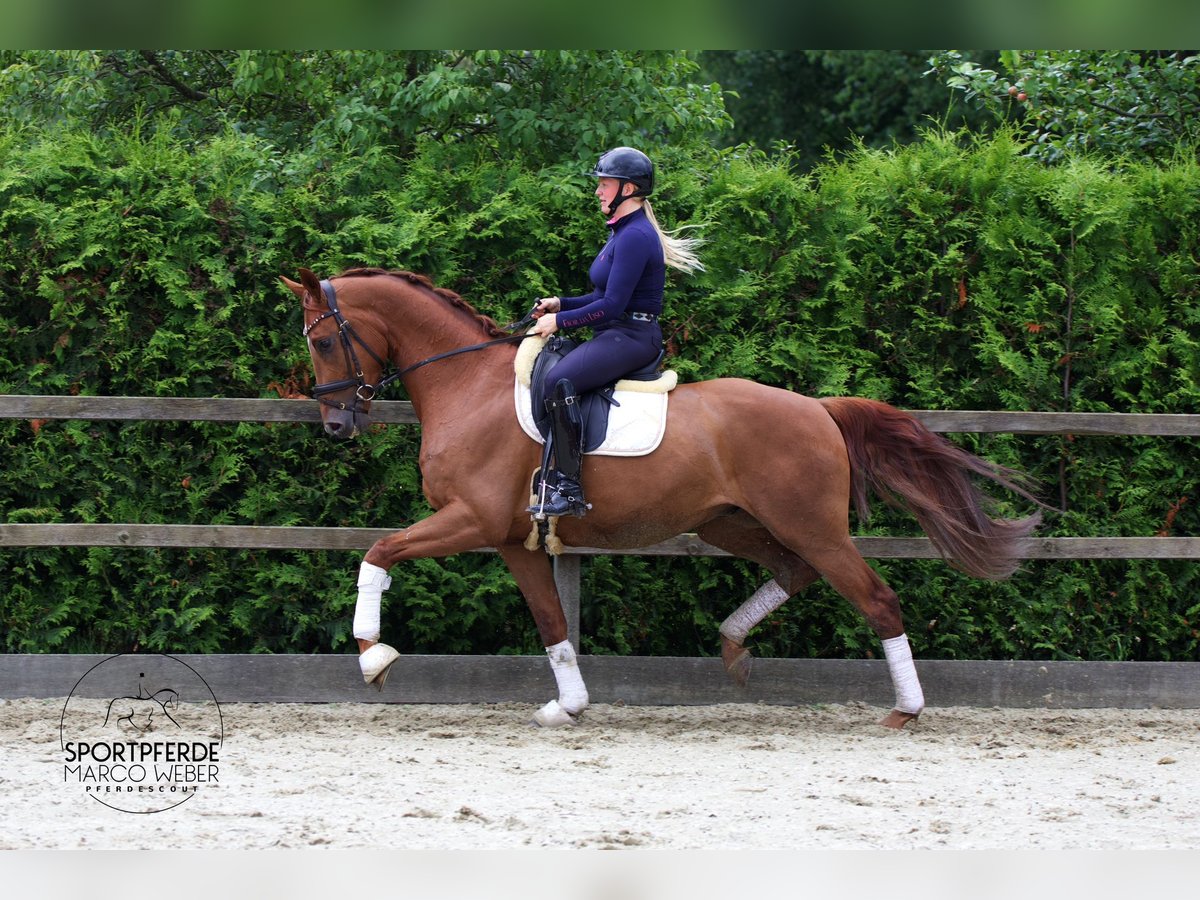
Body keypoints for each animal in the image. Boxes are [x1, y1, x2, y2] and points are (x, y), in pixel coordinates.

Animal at [283, 264, 1041, 729]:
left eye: (322, 341)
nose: (336, 425)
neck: (468, 385)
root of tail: (818, 409)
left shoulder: (470, 519)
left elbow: (378, 553)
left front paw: (373, 658)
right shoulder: (512, 537)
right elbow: (552, 623)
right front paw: (569, 706)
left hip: (813, 526)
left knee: (877, 599)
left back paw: (905, 710)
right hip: (729, 523)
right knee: (791, 571)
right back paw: (733, 646)